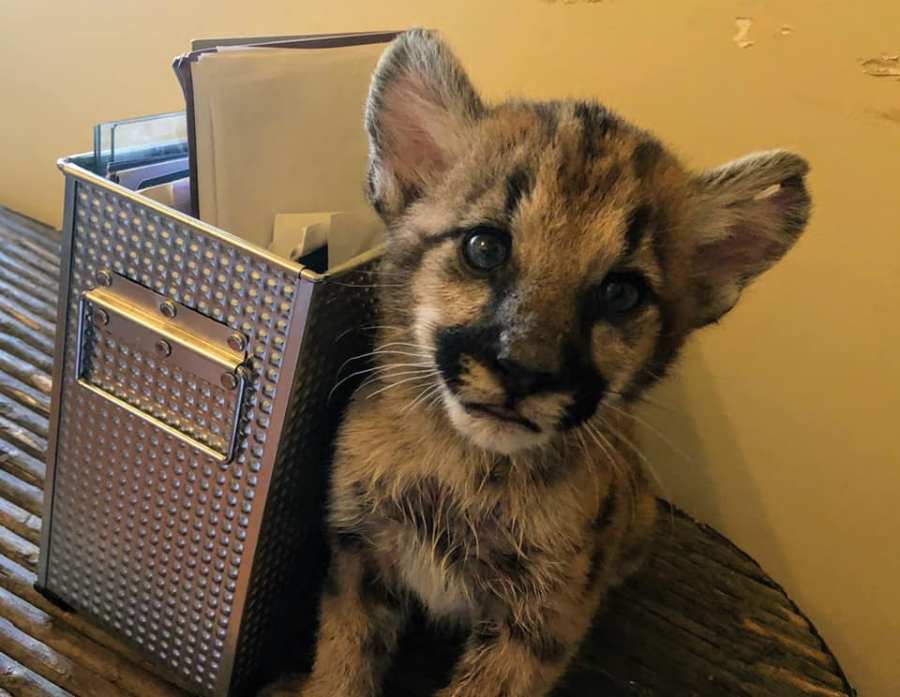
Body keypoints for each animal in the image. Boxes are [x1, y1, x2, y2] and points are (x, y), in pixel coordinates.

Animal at [266, 29, 808, 696]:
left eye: (621, 293)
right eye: (484, 247)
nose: (524, 371)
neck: (462, 471)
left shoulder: (538, 625)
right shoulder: (357, 558)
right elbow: (342, 665)